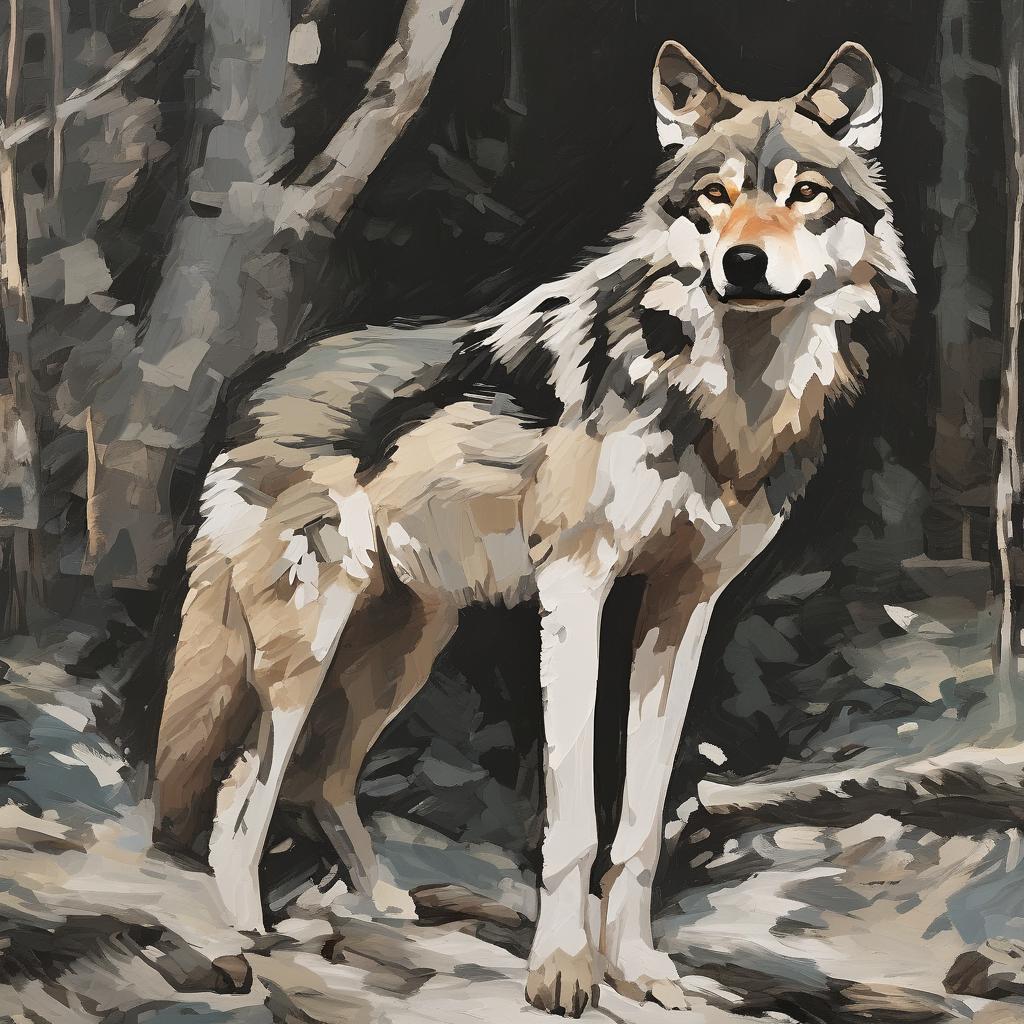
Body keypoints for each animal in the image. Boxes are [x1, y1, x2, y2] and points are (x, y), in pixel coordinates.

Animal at [153, 39, 913, 1016]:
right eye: (714, 194)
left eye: (805, 192)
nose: (743, 262)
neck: (725, 398)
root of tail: (256, 390)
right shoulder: (576, 593)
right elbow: (574, 820)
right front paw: (563, 973)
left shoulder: (684, 609)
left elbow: (639, 825)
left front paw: (643, 970)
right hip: (305, 652)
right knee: (241, 797)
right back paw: (247, 939)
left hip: (404, 649)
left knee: (322, 778)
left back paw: (384, 905)